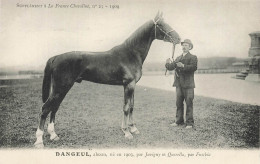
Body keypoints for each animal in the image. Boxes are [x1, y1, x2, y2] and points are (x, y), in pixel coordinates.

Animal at [34, 11, 181, 147]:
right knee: (45, 108)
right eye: (161, 25)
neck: (131, 53)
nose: (178, 38)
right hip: (60, 88)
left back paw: (53, 135)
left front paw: (133, 128)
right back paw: (39, 141)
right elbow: (126, 107)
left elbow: (131, 106)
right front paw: (126, 132)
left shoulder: (132, 85)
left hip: (61, 89)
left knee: (54, 107)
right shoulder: (129, 84)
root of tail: (55, 57)